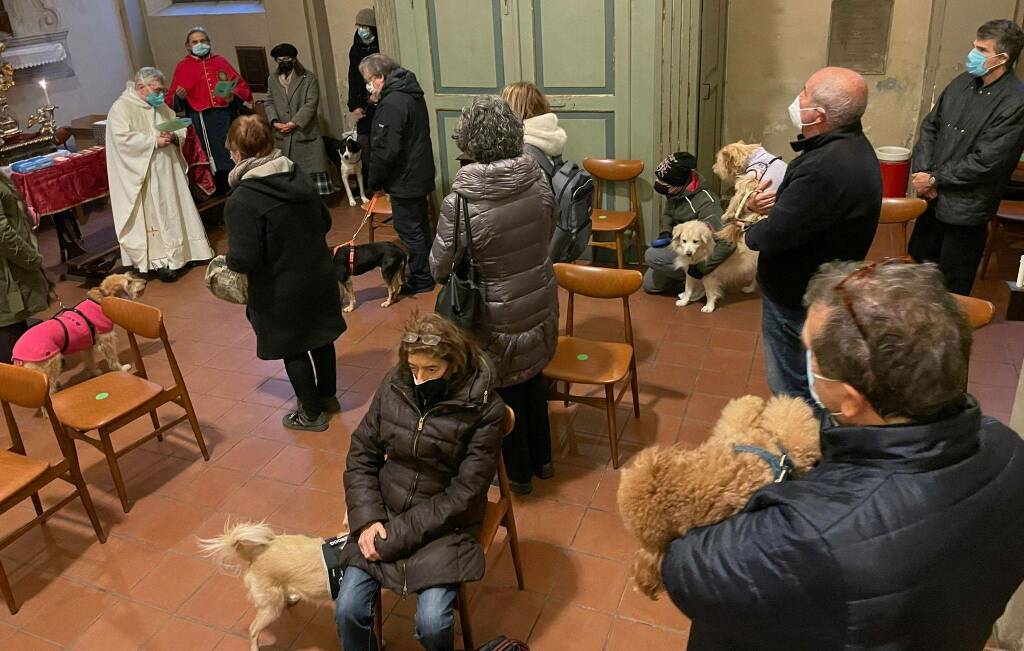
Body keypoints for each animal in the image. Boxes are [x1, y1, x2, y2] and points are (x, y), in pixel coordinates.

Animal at [12, 270, 148, 395]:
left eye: (130, 278)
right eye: (129, 283)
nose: (145, 281)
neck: (101, 301)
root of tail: (17, 355)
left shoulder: (87, 345)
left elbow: (90, 361)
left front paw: (94, 373)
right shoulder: (106, 341)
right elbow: (113, 359)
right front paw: (121, 369)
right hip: (52, 367)